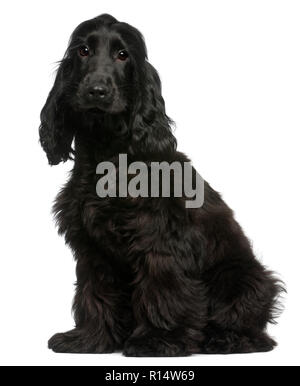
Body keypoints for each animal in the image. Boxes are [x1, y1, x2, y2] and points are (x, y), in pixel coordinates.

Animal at [40, 14, 284, 356]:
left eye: (123, 55)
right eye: (83, 51)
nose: (97, 91)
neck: (108, 156)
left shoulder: (159, 243)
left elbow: (162, 291)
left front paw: (158, 340)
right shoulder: (92, 249)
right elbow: (94, 293)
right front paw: (90, 338)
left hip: (240, 276)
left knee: (253, 329)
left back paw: (224, 339)